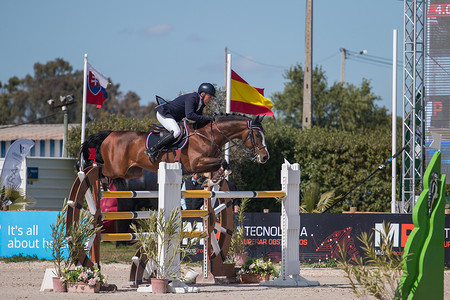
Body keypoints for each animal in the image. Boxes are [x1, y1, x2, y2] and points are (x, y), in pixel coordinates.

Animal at [80, 115, 268, 185]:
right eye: (257, 135)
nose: (265, 157)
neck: (208, 135)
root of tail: (110, 134)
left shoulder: (205, 163)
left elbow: (223, 165)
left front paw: (211, 180)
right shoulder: (196, 163)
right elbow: (223, 162)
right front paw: (214, 180)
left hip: (131, 172)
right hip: (115, 168)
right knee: (97, 169)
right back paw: (86, 175)